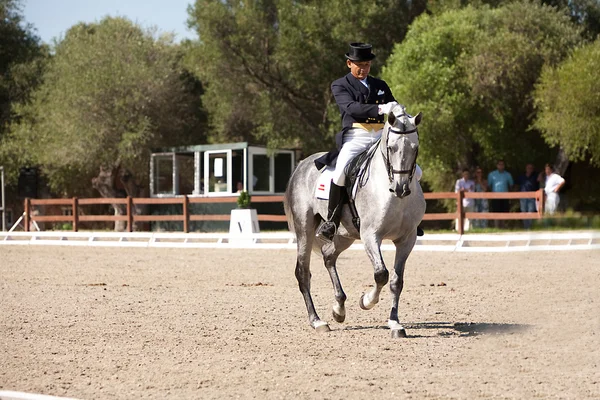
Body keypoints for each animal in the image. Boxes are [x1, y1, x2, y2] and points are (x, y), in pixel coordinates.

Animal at [284, 104, 424, 338]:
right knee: (303, 272)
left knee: (328, 256)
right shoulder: (370, 235)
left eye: (415, 148)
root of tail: (302, 164)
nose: (401, 188)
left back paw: (338, 309)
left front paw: (395, 323)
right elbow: (381, 274)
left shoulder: (407, 239)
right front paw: (366, 301)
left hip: (344, 235)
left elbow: (396, 281)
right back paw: (317, 321)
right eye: (392, 148)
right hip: (305, 228)